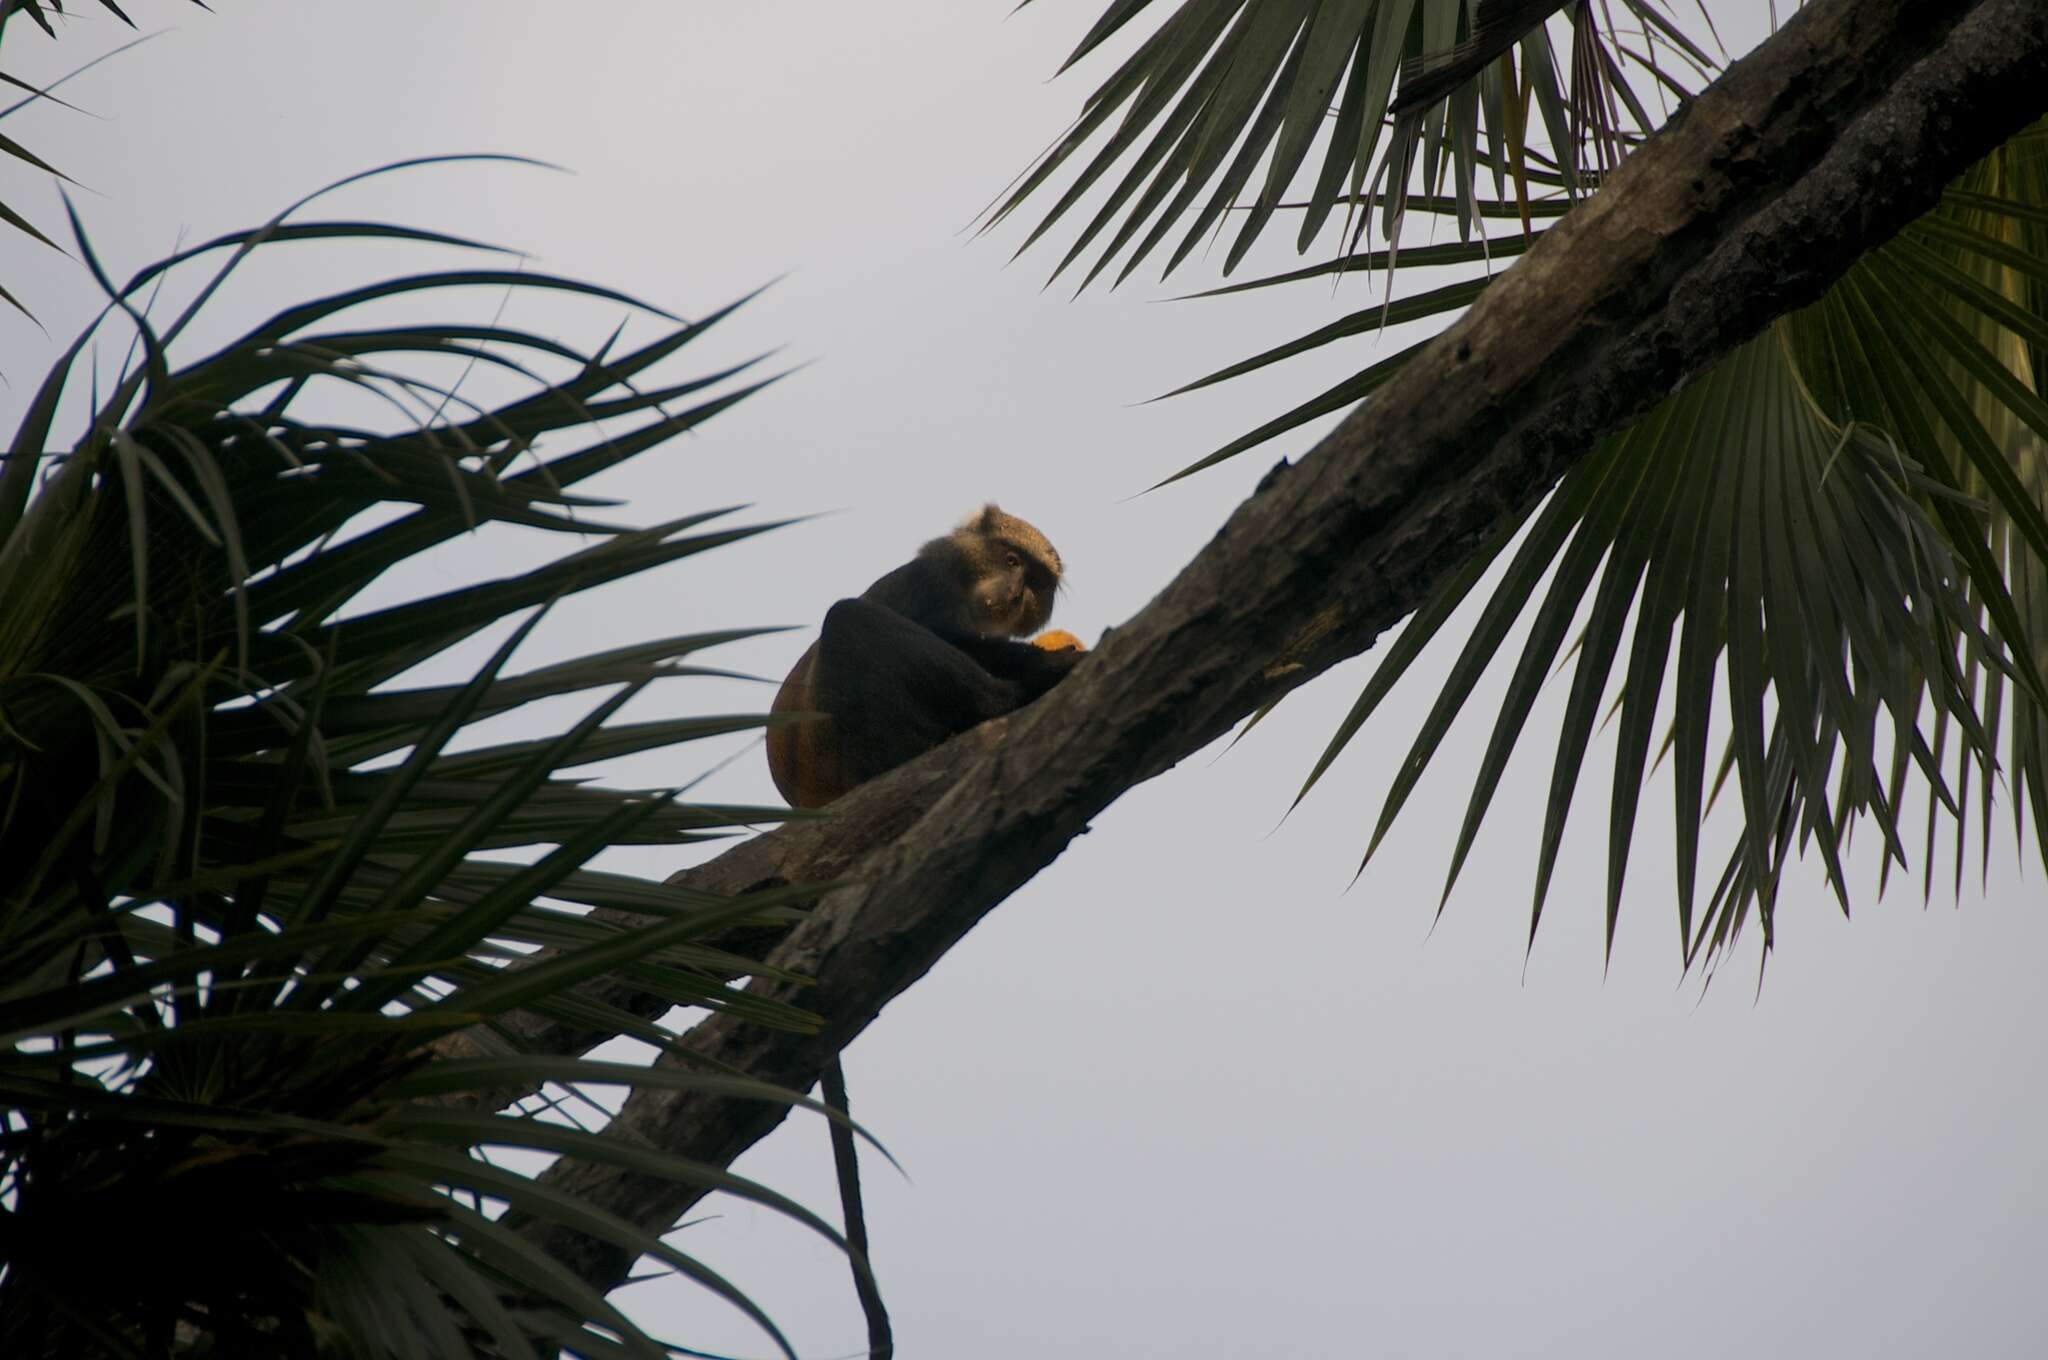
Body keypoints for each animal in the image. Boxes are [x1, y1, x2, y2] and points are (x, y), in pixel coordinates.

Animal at [770, 507, 1089, 806]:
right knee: (849, 619)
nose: (1014, 593)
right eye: (1012, 560)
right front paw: (1052, 662)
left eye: (1035, 581)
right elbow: (951, 637)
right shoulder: (929, 580)